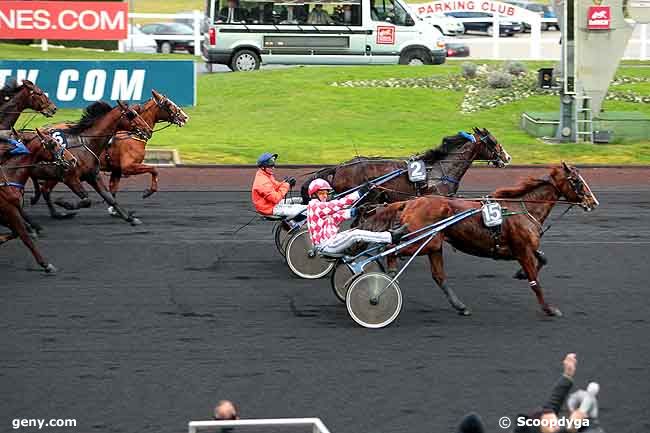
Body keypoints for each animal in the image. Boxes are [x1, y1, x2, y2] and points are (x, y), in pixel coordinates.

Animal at [0, 127, 76, 274]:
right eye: (53, 143)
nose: (73, 160)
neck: (8, 176)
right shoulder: (9, 210)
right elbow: (24, 236)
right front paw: (45, 264)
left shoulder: (6, 214)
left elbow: (15, 233)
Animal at [360, 164, 596, 316]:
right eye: (576, 181)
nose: (593, 202)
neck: (523, 209)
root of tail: (410, 203)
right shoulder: (522, 250)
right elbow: (535, 282)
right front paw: (549, 309)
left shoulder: (523, 249)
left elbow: (543, 259)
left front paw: (520, 274)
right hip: (421, 240)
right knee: (391, 247)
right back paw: (387, 277)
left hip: (434, 244)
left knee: (438, 276)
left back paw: (460, 306)